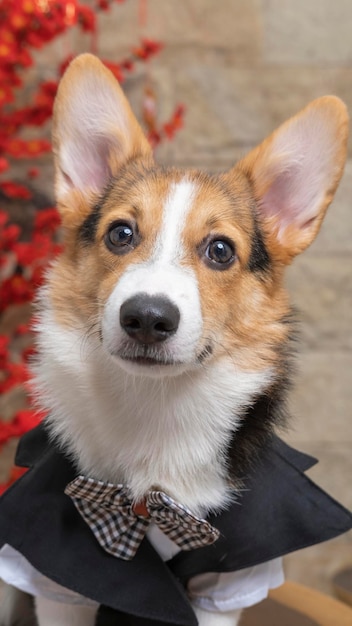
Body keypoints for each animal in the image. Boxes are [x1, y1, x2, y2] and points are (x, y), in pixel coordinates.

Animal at [0, 54, 348, 624]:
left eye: (221, 250)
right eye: (120, 234)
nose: (146, 317)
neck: (154, 411)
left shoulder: (229, 583)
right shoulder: (53, 579)